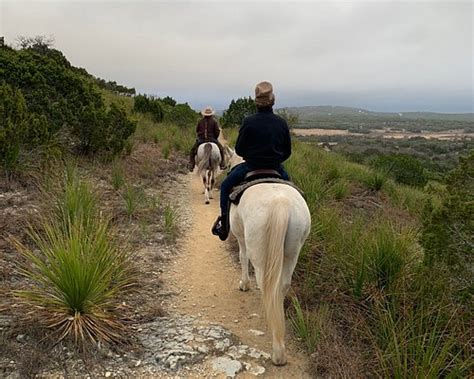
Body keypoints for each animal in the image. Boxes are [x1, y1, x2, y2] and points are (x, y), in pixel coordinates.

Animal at [229, 153, 312, 366]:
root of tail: (280, 204)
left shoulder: (241, 237)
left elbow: (242, 257)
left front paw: (244, 284)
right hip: (292, 251)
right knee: (281, 286)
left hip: (260, 252)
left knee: (265, 284)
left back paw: (276, 352)